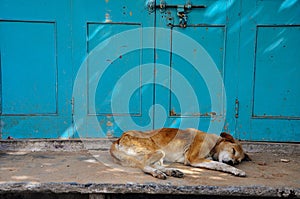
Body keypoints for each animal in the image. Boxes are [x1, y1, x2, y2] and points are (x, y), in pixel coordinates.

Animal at [110, 128, 251, 180]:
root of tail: (119, 139)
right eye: (233, 150)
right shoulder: (193, 158)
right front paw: (236, 170)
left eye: (238, 161)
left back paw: (171, 171)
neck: (215, 144)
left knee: (154, 165)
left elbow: (218, 164)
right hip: (157, 150)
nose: (232, 162)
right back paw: (158, 173)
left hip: (159, 155)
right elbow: (221, 165)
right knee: (144, 164)